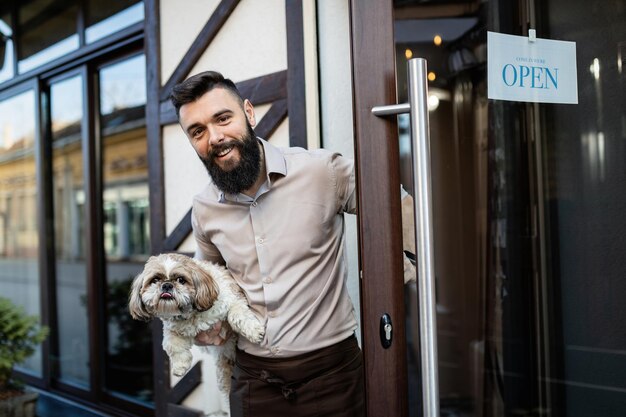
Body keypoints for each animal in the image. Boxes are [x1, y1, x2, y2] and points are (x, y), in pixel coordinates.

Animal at [127, 252, 264, 402]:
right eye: (155, 279)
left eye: (181, 280)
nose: (167, 285)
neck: (191, 314)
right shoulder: (173, 329)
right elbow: (172, 345)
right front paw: (180, 366)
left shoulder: (232, 300)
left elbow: (238, 314)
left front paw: (254, 331)